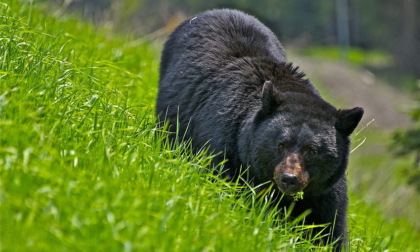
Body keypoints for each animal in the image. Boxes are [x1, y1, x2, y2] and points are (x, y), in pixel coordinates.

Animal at [156, 8, 362, 249]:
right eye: (280, 144)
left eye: (312, 150)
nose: (289, 178)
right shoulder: (227, 152)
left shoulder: (325, 191)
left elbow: (329, 228)